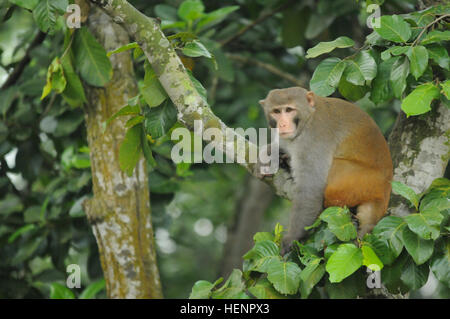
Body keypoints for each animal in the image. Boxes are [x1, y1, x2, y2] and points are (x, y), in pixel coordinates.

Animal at [258, 86, 392, 254]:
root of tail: (386, 188)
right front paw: (269, 154)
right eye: (276, 111)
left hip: (361, 181)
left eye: (289, 110)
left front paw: (291, 239)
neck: (308, 117)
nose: (282, 124)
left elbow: (311, 190)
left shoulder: (313, 137)